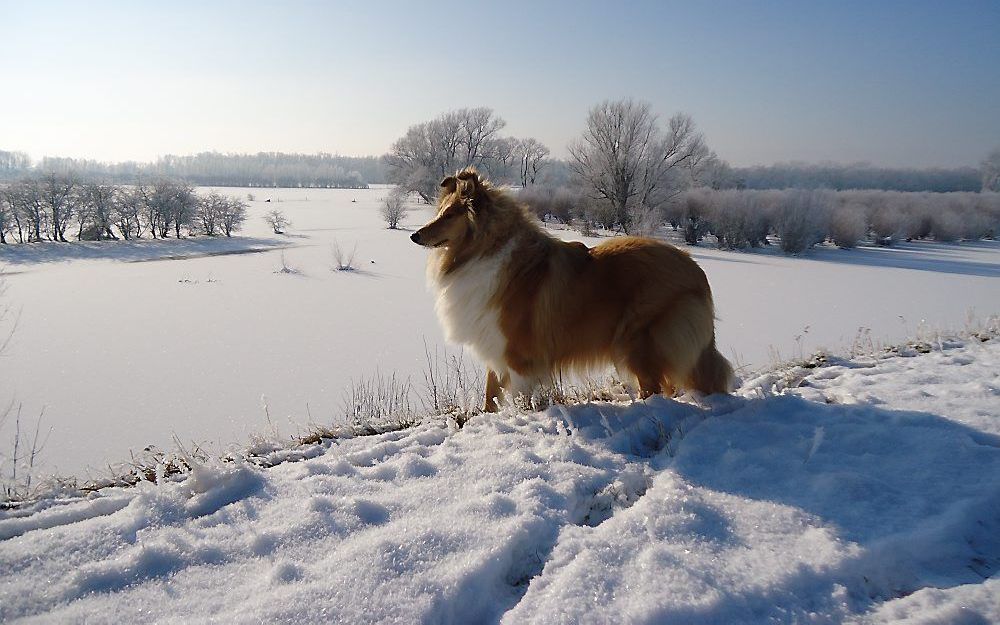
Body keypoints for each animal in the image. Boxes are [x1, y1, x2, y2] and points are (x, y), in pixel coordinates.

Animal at [410, 167, 732, 410]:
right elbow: (490, 395)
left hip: (638, 339)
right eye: (440, 211)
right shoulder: (493, 341)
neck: (484, 251)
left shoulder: (519, 355)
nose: (414, 236)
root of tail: (695, 269)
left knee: (653, 386)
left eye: (449, 215)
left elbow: (519, 397)